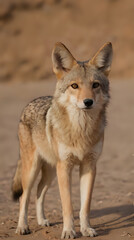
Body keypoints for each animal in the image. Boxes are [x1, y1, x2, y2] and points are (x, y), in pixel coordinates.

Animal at [11, 41, 112, 238]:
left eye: (95, 85)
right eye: (74, 86)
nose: (88, 102)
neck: (81, 130)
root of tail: (30, 103)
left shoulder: (89, 166)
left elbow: (85, 206)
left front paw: (86, 229)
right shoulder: (64, 167)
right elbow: (68, 206)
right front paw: (69, 231)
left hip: (50, 172)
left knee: (39, 192)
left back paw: (42, 221)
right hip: (33, 169)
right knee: (24, 197)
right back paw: (22, 227)